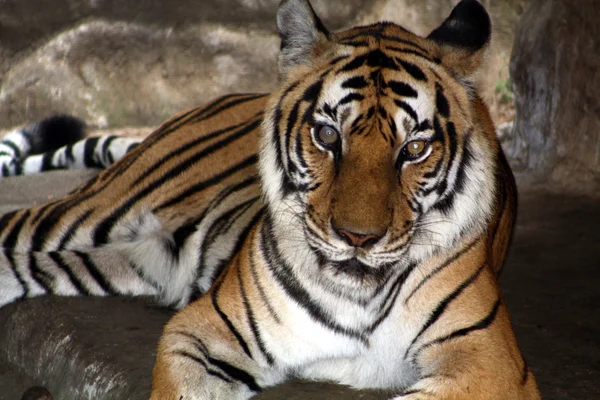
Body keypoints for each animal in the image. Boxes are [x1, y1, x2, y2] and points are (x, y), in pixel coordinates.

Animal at [0, 0, 540, 398]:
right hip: (91, 211)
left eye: (414, 149)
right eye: (327, 135)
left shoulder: (489, 364)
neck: (357, 296)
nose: (358, 238)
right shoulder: (204, 329)